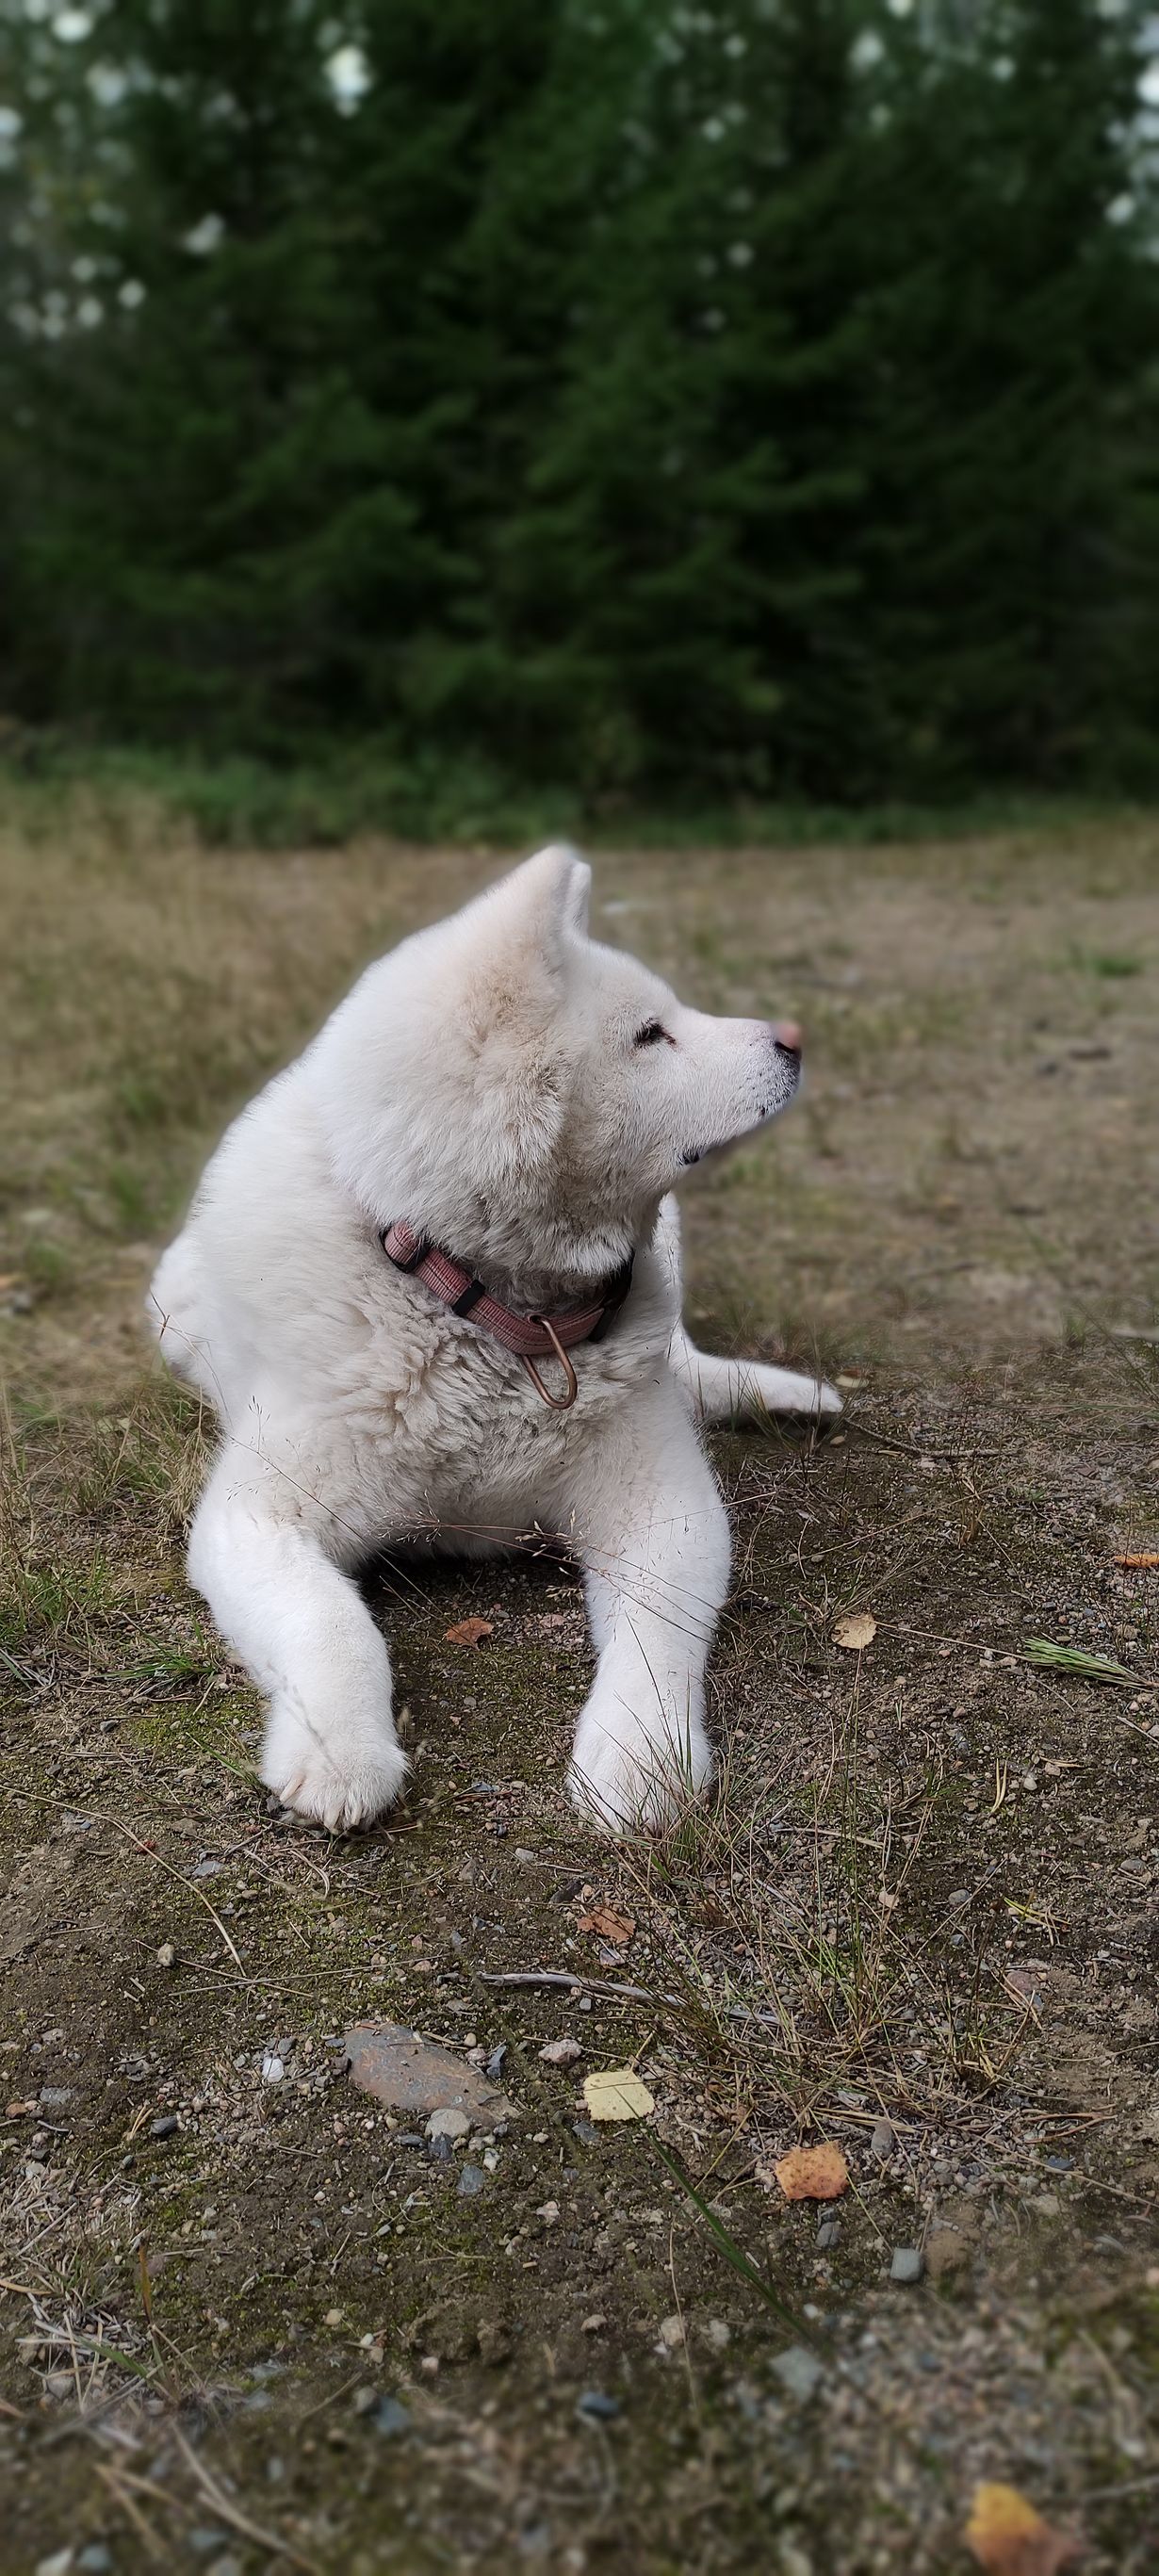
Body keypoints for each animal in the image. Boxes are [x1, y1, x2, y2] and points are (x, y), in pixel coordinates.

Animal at [150, 846, 839, 1836]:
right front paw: (340, 1752)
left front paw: (640, 1758)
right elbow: (332, 1622)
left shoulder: (666, 1506)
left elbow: (657, 1633)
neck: (489, 1313)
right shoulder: (257, 1518)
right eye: (651, 1034)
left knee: (688, 1367)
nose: (793, 1037)